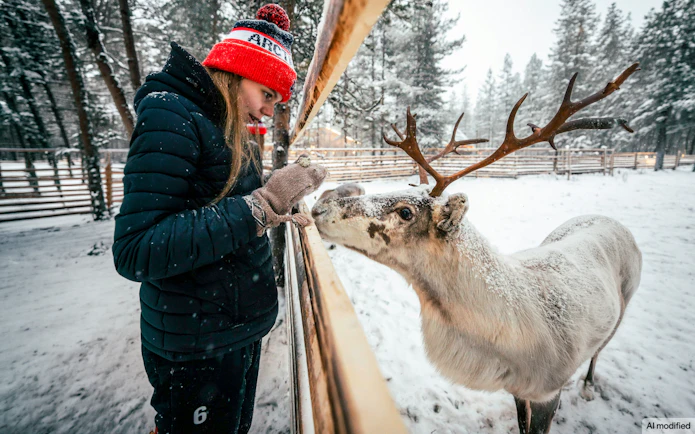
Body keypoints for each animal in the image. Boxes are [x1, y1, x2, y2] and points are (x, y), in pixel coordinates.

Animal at [311, 64, 643, 434]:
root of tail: (612, 221)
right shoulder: (519, 390)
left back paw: (587, 386)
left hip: (624, 305)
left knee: (600, 349)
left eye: (406, 212)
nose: (321, 205)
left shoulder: (548, 389)